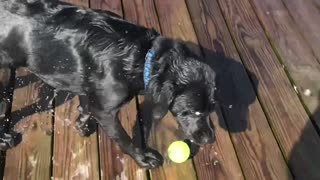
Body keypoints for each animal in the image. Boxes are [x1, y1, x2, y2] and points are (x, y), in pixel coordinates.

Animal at [0, 0, 216, 169]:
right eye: (193, 112)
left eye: (211, 110)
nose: (210, 139)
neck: (142, 56)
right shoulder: (106, 112)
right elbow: (123, 139)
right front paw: (143, 158)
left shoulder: (90, 91)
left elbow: (86, 106)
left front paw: (82, 125)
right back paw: (4, 139)